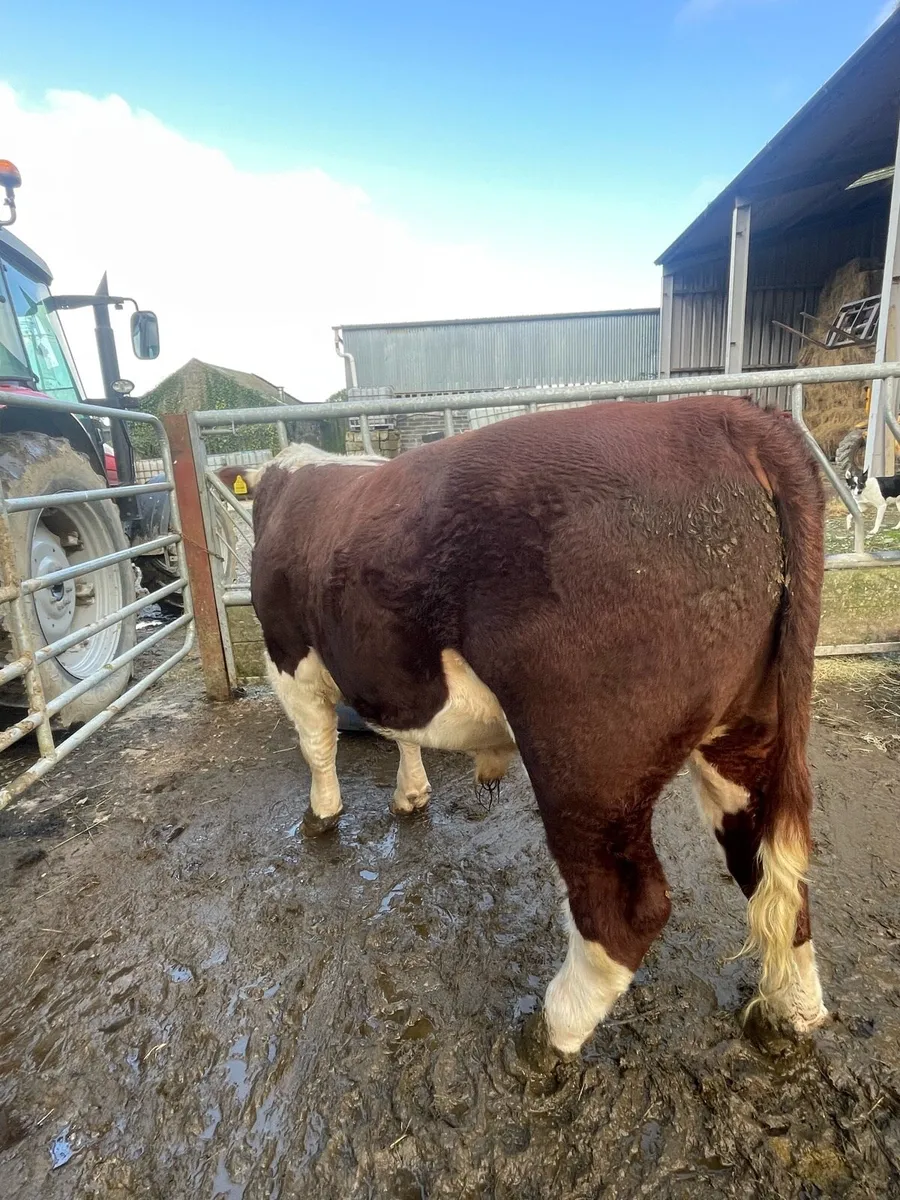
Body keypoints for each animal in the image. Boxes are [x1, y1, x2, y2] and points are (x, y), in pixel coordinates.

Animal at [236, 395, 828, 1055]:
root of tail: (727, 413)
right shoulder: (387, 671)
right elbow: (400, 734)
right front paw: (411, 794)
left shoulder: (288, 655)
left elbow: (316, 744)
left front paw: (321, 816)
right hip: (748, 727)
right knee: (769, 865)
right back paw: (791, 1011)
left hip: (587, 758)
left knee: (625, 908)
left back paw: (550, 1034)